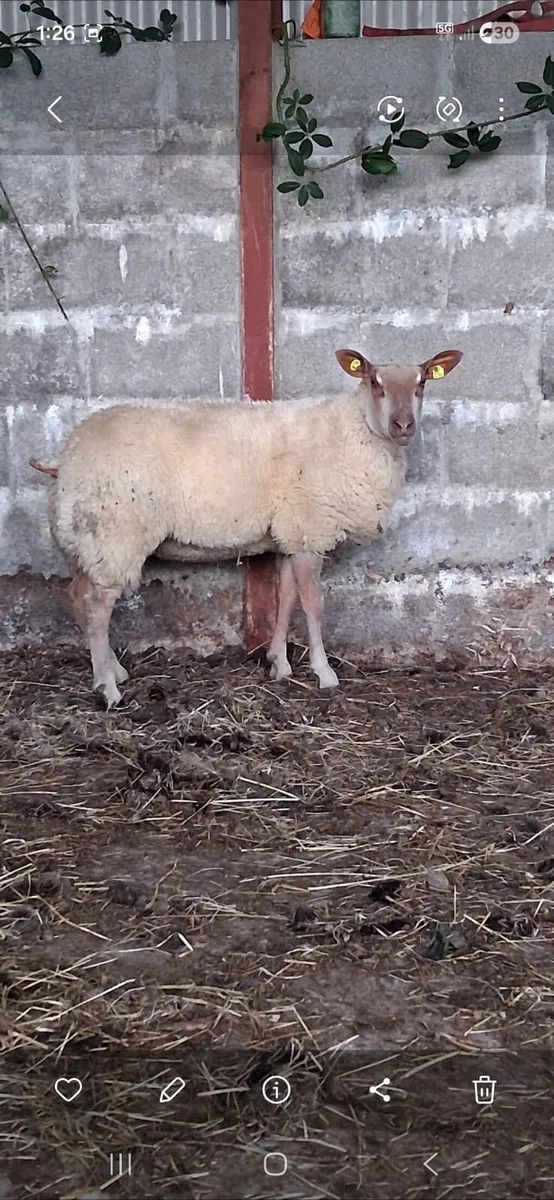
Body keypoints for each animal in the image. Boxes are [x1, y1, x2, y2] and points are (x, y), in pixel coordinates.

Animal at [31, 345, 462, 707]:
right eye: (374, 382)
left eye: (422, 382)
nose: (404, 425)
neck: (355, 430)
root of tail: (66, 455)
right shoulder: (310, 529)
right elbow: (313, 604)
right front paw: (323, 672)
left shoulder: (291, 532)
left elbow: (286, 597)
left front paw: (279, 664)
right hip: (114, 533)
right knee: (97, 606)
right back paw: (108, 687)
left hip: (86, 538)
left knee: (78, 596)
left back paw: (111, 669)